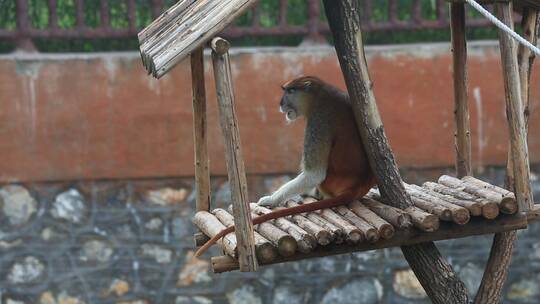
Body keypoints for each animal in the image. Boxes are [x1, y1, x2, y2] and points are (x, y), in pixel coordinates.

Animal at [194, 75, 376, 256]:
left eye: (290, 91)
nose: (281, 103)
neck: (319, 95)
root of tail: (358, 186)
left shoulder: (318, 120)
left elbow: (314, 174)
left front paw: (270, 199)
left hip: (330, 183)